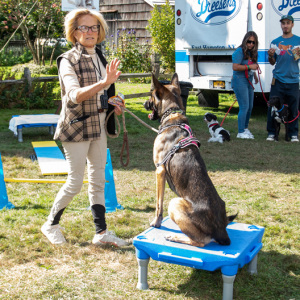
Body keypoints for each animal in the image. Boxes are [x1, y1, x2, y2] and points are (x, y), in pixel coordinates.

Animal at [144, 74, 237, 247]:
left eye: (151, 95)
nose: (144, 103)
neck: (173, 117)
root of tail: (221, 228)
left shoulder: (159, 170)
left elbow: (158, 204)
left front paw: (156, 222)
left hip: (175, 202)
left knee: (201, 241)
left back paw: (175, 237)